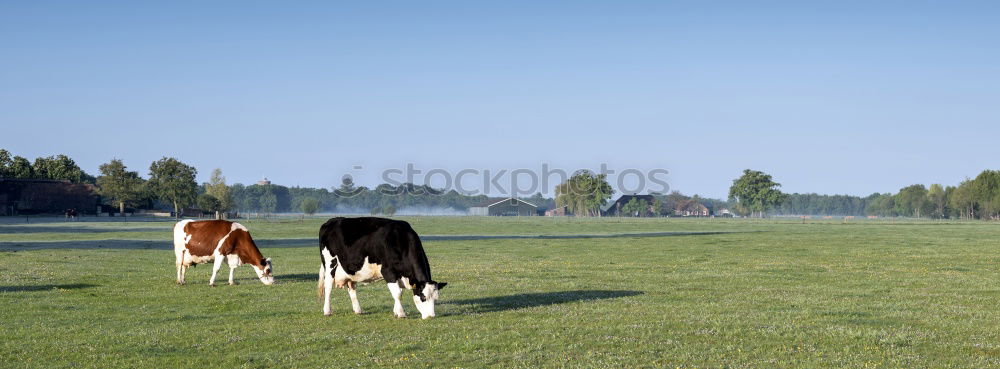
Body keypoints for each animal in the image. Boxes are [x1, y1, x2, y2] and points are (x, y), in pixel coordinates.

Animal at [318, 217, 448, 318]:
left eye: (436, 298)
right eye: (423, 297)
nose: (431, 316)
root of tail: (331, 221)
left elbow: (398, 292)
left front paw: (396, 312)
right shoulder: (388, 271)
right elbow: (398, 293)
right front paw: (401, 314)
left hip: (350, 270)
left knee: (352, 288)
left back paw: (358, 310)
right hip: (330, 264)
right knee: (328, 287)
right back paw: (327, 311)